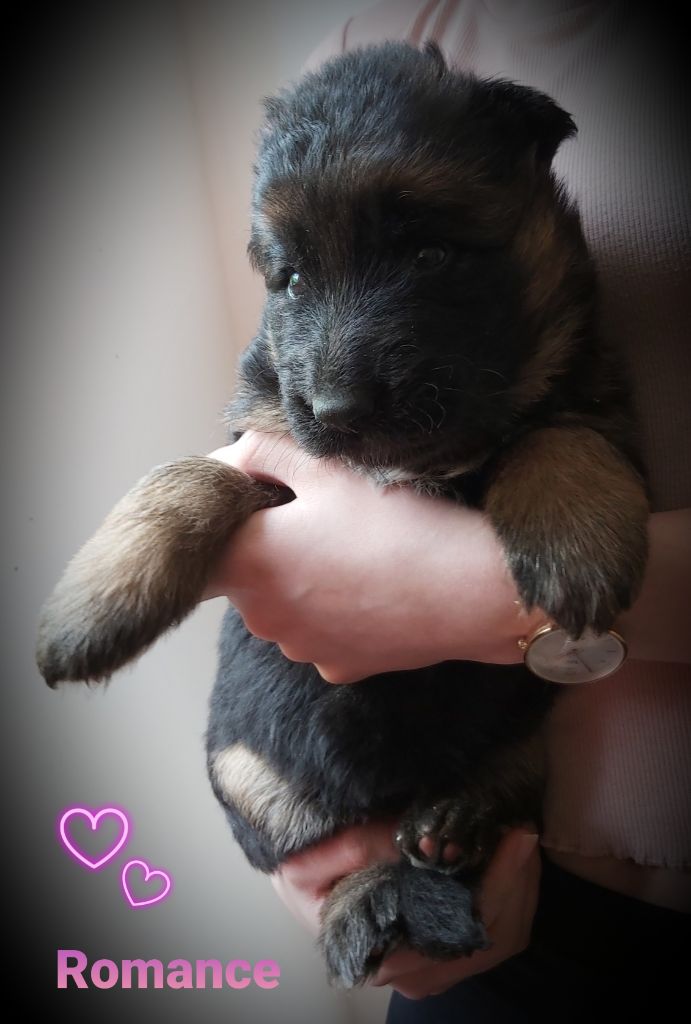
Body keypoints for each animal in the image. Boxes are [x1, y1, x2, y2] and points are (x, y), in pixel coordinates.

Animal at [35, 44, 651, 987]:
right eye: (289, 279)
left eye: (430, 252)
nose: (337, 409)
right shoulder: (262, 441)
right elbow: (187, 475)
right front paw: (91, 605)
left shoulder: (594, 399)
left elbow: (557, 432)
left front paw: (575, 537)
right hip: (243, 772)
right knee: (330, 857)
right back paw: (368, 893)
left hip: (524, 737)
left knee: (494, 796)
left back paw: (453, 821)